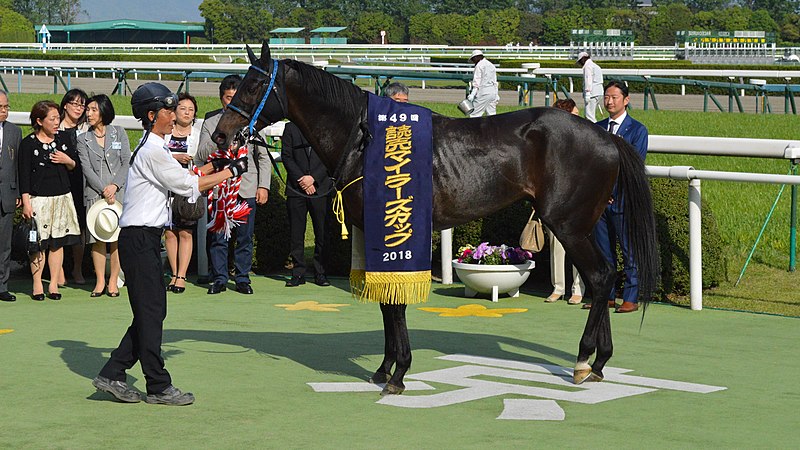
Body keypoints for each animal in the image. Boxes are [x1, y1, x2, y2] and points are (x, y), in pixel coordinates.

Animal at [209, 42, 660, 394]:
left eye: (253, 86)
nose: (220, 134)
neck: (366, 140)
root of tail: (607, 136)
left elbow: (396, 304)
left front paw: (398, 374)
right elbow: (386, 303)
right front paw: (384, 369)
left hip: (567, 224)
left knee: (599, 276)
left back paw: (584, 360)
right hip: (588, 223)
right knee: (605, 276)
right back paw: (599, 362)